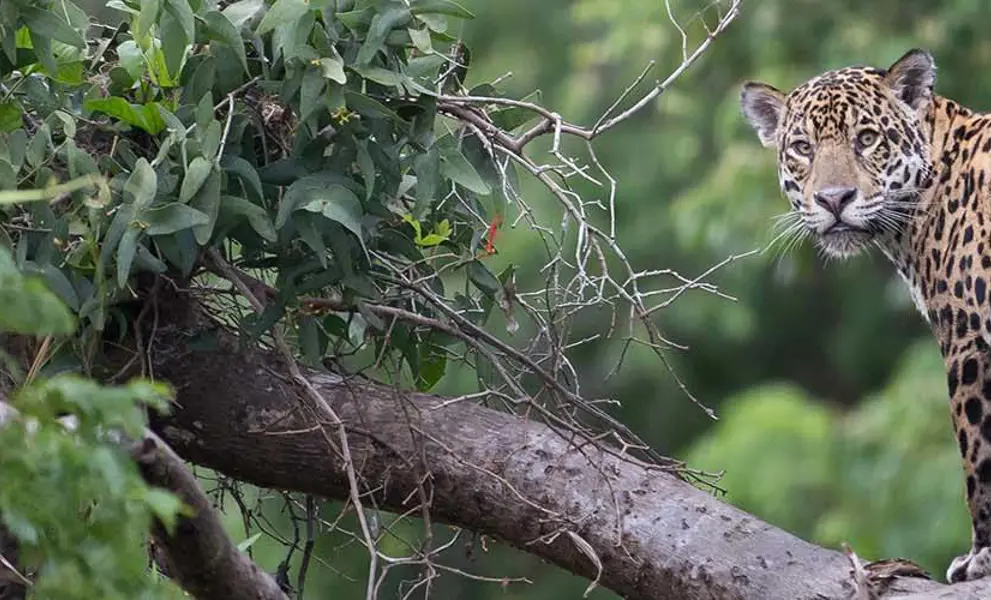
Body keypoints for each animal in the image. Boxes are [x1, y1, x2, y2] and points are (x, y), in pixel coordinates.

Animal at [740, 48, 991, 583]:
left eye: (868, 138)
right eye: (803, 147)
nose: (834, 199)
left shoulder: (971, 342)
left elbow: (978, 456)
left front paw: (983, 555)